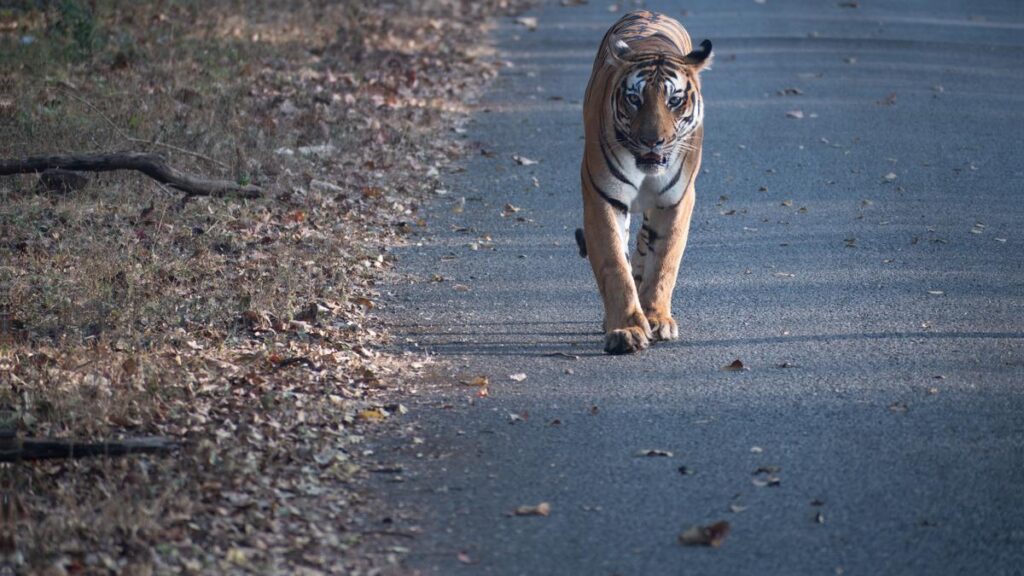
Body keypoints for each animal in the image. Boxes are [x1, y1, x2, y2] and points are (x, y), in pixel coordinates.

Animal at [576, 10, 712, 354]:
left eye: (674, 100)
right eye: (634, 99)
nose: (653, 141)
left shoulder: (677, 200)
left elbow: (664, 260)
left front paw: (657, 318)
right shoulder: (602, 198)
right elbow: (613, 264)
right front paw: (626, 329)